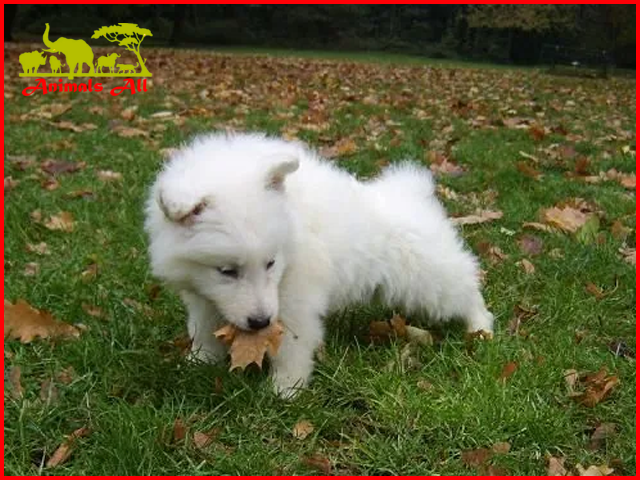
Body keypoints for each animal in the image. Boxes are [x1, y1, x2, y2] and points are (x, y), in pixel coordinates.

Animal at [146, 131, 496, 398]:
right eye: (227, 271)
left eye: (271, 263)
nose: (260, 322)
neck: (293, 222)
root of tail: (413, 194)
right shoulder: (205, 296)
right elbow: (204, 328)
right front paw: (198, 361)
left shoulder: (296, 297)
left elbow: (292, 345)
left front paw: (285, 390)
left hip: (429, 279)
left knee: (466, 290)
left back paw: (480, 328)